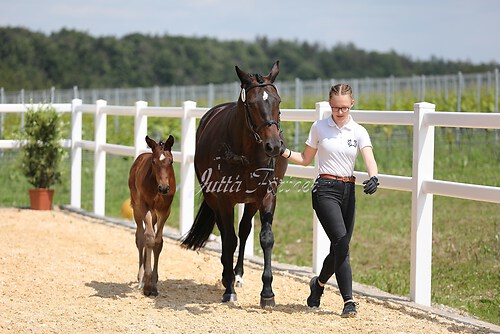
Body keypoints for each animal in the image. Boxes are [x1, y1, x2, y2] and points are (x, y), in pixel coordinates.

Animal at [128, 134, 177, 296]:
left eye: (171, 161)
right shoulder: (145, 208)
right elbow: (149, 238)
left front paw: (154, 284)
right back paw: (141, 278)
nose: (164, 188)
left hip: (155, 215)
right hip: (137, 209)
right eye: (154, 162)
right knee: (140, 237)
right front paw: (148, 284)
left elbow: (158, 242)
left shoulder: (165, 211)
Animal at [182, 61, 288, 306]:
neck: (245, 151)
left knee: (244, 230)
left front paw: (267, 292)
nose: (274, 146)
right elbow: (229, 240)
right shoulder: (223, 200)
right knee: (226, 233)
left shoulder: (267, 195)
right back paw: (226, 275)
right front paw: (228, 288)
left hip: (250, 202)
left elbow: (265, 238)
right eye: (251, 104)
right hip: (214, 199)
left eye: (277, 101)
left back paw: (237, 274)